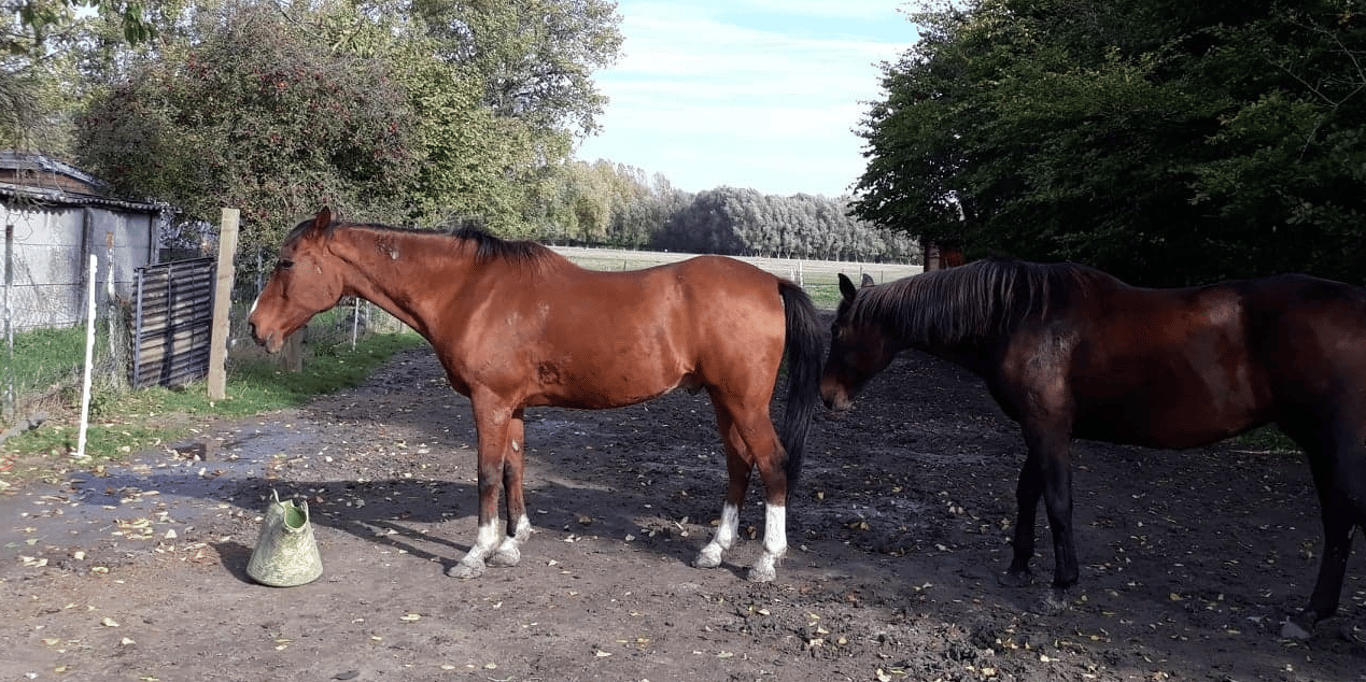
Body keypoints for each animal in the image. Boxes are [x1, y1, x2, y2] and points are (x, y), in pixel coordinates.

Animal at [248, 207, 824, 582]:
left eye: (286, 263)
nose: (255, 328)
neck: (470, 292)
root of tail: (771, 283)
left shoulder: (489, 402)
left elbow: (486, 474)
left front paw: (476, 554)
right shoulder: (515, 406)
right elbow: (513, 469)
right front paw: (512, 542)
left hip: (744, 403)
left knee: (772, 464)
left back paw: (766, 560)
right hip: (723, 401)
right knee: (739, 465)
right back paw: (714, 549)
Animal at [820, 258, 1366, 636]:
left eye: (837, 330)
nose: (826, 396)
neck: (1017, 316)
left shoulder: (1048, 428)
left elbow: (1058, 501)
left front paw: (1062, 584)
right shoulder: (1040, 427)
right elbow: (1028, 494)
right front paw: (1019, 566)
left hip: (1329, 442)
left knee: (1340, 519)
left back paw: (1310, 615)